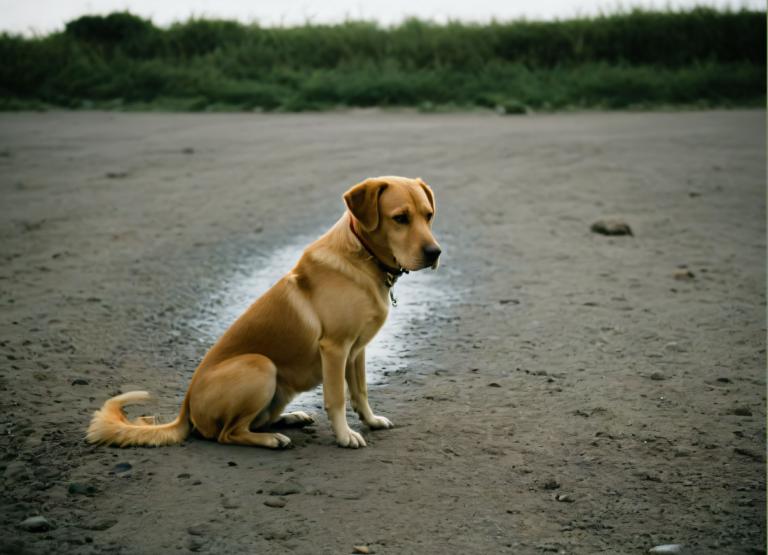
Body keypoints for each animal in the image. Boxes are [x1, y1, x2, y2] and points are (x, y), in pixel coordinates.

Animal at [87, 176, 440, 450]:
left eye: (428, 215)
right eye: (400, 218)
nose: (435, 253)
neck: (363, 257)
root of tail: (185, 407)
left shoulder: (357, 351)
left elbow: (360, 391)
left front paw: (370, 420)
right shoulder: (335, 349)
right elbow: (337, 397)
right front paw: (345, 435)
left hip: (278, 389)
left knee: (253, 423)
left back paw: (290, 419)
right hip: (261, 366)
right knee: (227, 434)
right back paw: (272, 440)